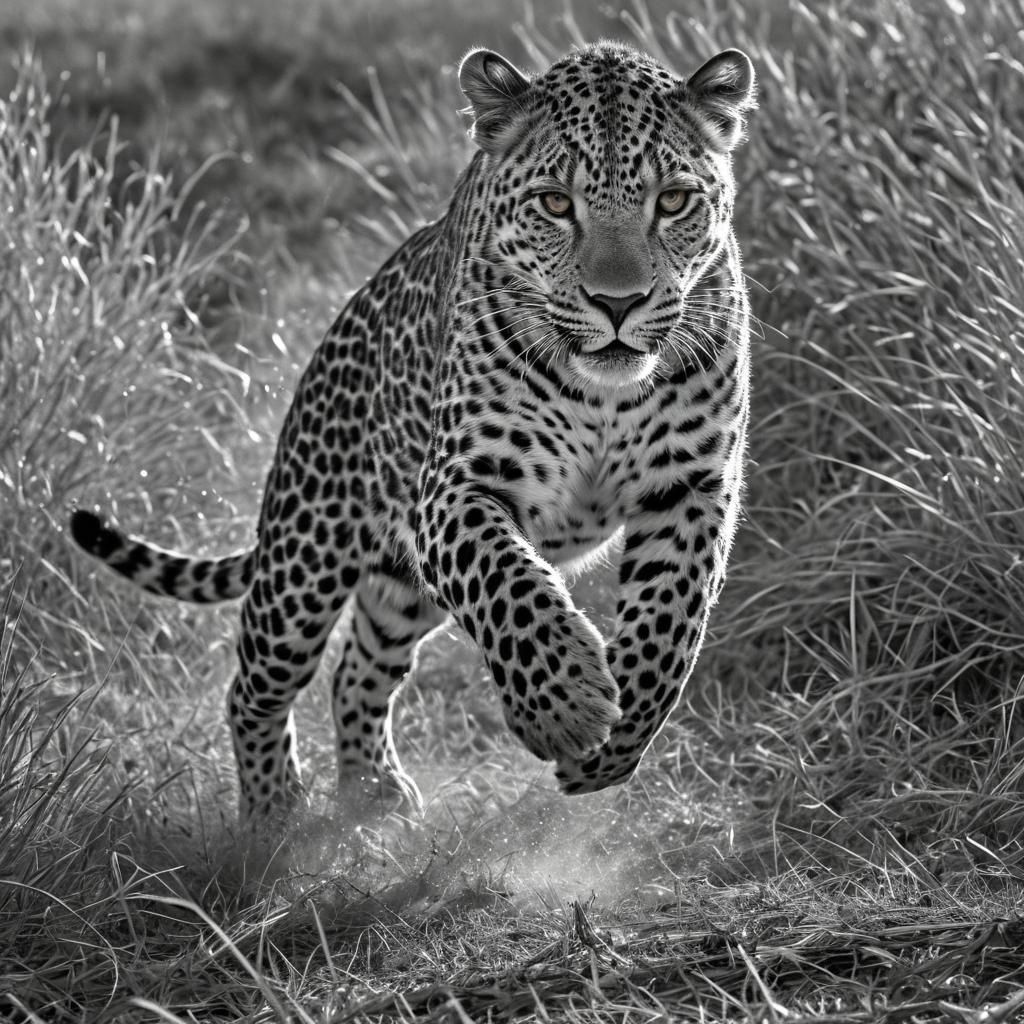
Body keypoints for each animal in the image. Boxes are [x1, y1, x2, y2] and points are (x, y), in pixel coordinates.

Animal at [70, 39, 757, 822]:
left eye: (672, 201)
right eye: (556, 204)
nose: (619, 303)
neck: (604, 395)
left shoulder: (693, 489)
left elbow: (671, 625)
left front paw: (617, 741)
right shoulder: (458, 488)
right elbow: (511, 586)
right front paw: (563, 706)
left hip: (403, 587)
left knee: (359, 667)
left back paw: (373, 792)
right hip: (306, 556)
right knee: (257, 684)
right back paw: (274, 812)